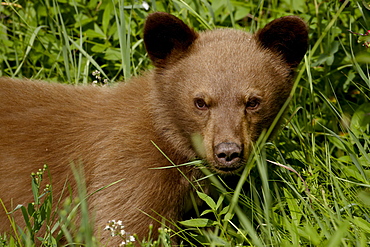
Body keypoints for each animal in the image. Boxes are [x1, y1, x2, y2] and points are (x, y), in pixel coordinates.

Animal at [0, 12, 308, 245]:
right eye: (200, 102)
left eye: (253, 101)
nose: (228, 152)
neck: (167, 133)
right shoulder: (127, 167)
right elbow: (125, 226)